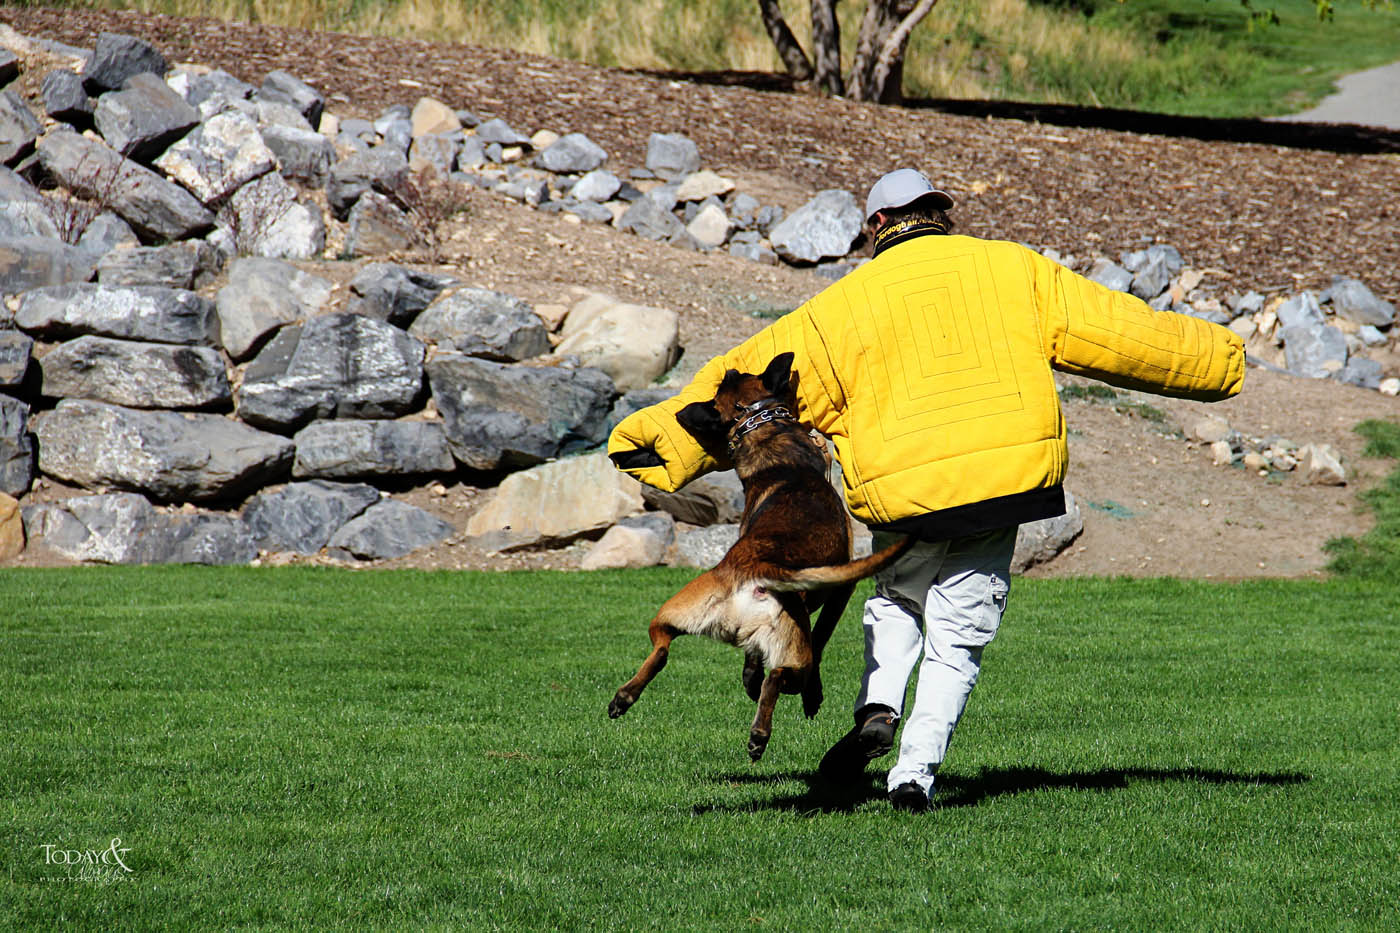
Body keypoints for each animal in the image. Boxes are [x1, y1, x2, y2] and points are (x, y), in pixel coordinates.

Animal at [607, 353, 912, 762]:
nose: (732, 368)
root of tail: (756, 568)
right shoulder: (841, 590)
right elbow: (821, 638)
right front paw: (812, 696)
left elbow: (752, 661)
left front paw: (748, 679)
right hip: (791, 645)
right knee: (783, 675)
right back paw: (761, 732)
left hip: (672, 614)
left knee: (664, 650)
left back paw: (626, 697)